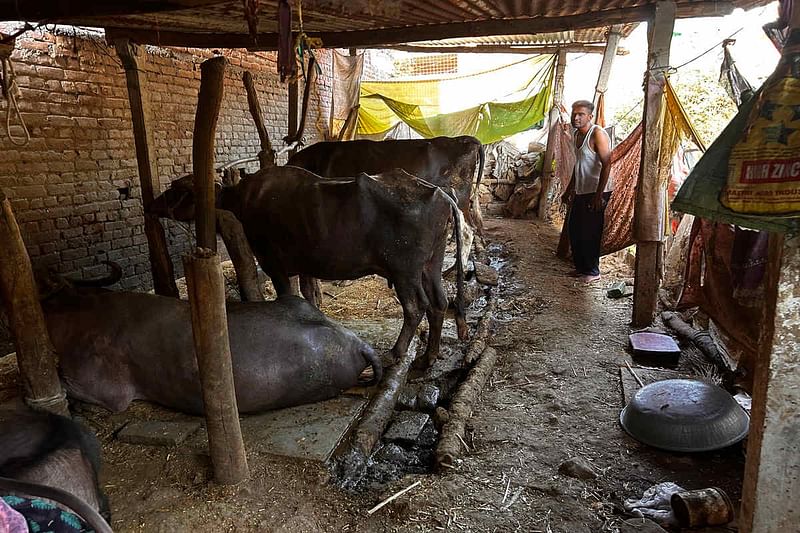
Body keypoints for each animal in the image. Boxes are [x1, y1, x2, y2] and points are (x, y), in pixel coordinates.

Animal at [152, 167, 466, 366]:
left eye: (177, 189)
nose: (153, 203)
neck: (245, 198)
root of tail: (439, 193)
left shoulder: (274, 264)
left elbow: (288, 297)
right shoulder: (305, 264)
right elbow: (309, 295)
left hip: (404, 272)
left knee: (416, 307)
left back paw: (397, 353)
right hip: (430, 265)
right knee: (439, 303)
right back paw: (428, 357)